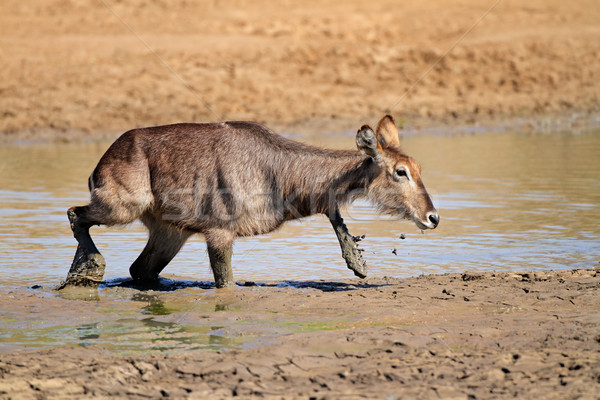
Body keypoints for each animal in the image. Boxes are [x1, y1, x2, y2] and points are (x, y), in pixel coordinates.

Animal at [61, 114, 438, 290]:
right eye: (401, 172)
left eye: (420, 168)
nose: (432, 217)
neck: (278, 172)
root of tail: (103, 160)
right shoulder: (219, 232)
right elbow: (227, 284)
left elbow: (332, 209)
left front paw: (356, 261)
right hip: (123, 207)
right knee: (75, 212)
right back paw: (88, 268)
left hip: (170, 232)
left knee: (140, 269)